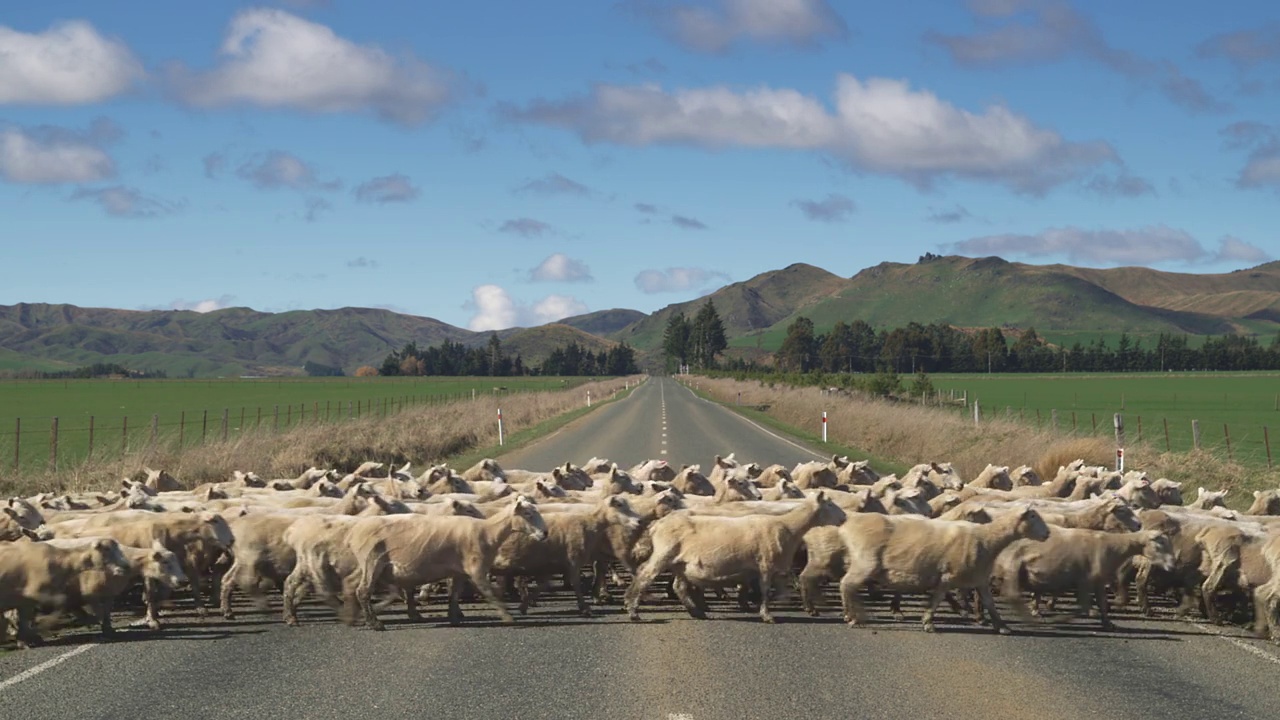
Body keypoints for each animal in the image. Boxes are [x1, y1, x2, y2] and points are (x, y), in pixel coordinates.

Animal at [353, 489, 547, 625]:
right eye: (528, 514)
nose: (545, 533)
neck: (488, 531)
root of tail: (357, 530)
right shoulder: (476, 569)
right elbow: (489, 593)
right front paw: (507, 616)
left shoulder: (460, 571)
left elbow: (454, 594)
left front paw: (453, 616)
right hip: (371, 562)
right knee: (363, 591)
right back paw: (374, 623)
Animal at [624, 486, 844, 622]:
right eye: (830, 504)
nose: (844, 518)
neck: (788, 526)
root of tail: (658, 523)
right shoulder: (766, 564)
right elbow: (765, 591)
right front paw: (767, 615)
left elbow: (767, 589)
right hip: (664, 553)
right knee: (644, 576)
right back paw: (632, 609)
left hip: (680, 563)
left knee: (679, 586)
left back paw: (696, 611)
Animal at [834, 502, 1044, 630]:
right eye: (1033, 516)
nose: (1047, 533)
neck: (987, 539)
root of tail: (850, 520)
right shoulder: (948, 576)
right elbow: (937, 599)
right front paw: (928, 622)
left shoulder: (980, 579)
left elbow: (990, 603)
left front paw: (1002, 626)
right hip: (865, 561)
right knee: (846, 584)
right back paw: (852, 616)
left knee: (848, 585)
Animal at [993, 525, 1172, 625]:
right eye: (1160, 544)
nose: (1171, 566)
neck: (1114, 547)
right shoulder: (1088, 580)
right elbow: (1089, 604)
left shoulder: (1095, 580)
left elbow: (1100, 603)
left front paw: (1107, 622)